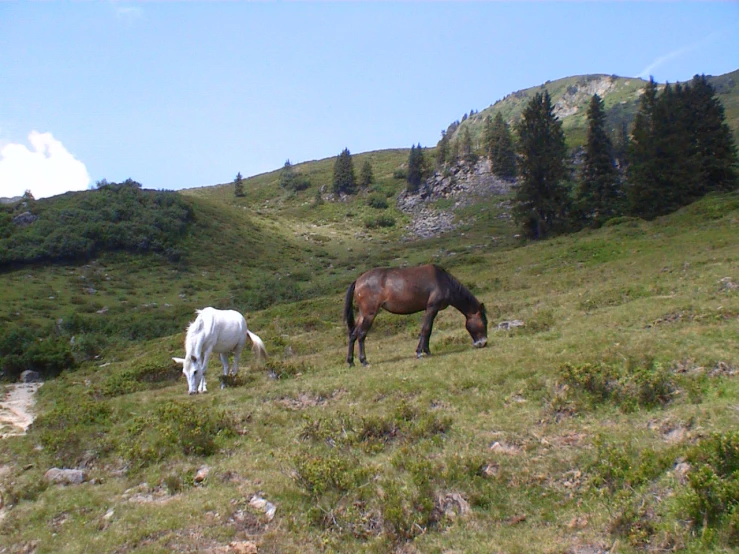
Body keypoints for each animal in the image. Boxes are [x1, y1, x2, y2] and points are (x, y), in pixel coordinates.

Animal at [346, 264, 488, 364]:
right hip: (369, 314)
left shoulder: (432, 310)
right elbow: (426, 329)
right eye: (484, 322)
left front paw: (427, 351)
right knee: (361, 334)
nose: (483, 343)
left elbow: (428, 330)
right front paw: (420, 352)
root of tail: (358, 281)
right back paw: (364, 361)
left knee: (353, 334)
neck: (444, 281)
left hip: (362, 315)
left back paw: (351, 362)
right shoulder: (432, 308)